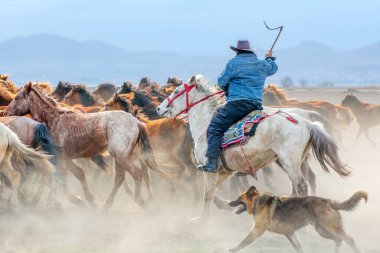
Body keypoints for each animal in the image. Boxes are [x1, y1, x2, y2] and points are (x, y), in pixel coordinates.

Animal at [5, 83, 157, 210]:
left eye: (17, 97)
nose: (6, 113)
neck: (54, 120)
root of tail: (136, 122)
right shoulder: (61, 159)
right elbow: (70, 176)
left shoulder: (62, 159)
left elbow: (64, 178)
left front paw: (81, 200)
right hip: (120, 158)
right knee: (120, 177)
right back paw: (106, 206)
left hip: (121, 157)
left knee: (137, 174)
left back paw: (139, 201)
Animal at [157, 74, 350, 219]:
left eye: (176, 91)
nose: (159, 108)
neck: (206, 123)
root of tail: (306, 122)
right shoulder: (224, 171)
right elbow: (213, 193)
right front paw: (225, 206)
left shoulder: (209, 168)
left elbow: (208, 193)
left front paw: (202, 219)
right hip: (296, 161)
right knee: (299, 184)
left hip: (290, 162)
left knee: (301, 185)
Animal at [227, 186, 366, 253]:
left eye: (238, 198)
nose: (228, 203)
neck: (257, 201)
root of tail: (329, 201)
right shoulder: (290, 233)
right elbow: (298, 247)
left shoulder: (256, 231)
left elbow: (243, 242)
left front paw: (232, 249)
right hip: (323, 231)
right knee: (339, 240)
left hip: (331, 228)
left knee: (349, 239)